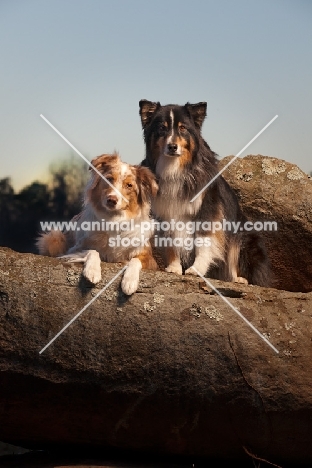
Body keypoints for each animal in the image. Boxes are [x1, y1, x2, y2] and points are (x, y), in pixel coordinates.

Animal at [36, 152, 158, 294]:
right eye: (109, 179)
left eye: (129, 185)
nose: (112, 200)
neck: (114, 220)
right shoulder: (73, 249)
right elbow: (93, 251)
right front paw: (92, 271)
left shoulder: (150, 259)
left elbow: (135, 260)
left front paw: (129, 282)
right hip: (55, 237)